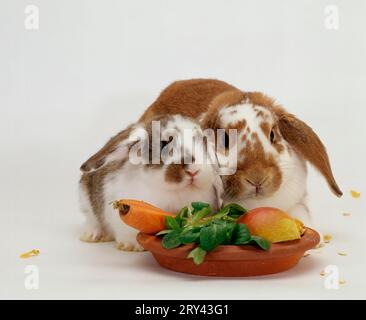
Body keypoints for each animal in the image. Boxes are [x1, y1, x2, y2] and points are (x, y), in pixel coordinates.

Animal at [79, 114, 223, 251]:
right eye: (164, 144)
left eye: (204, 142)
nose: (194, 170)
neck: (175, 190)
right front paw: (131, 246)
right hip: (85, 200)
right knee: (92, 221)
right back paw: (93, 236)